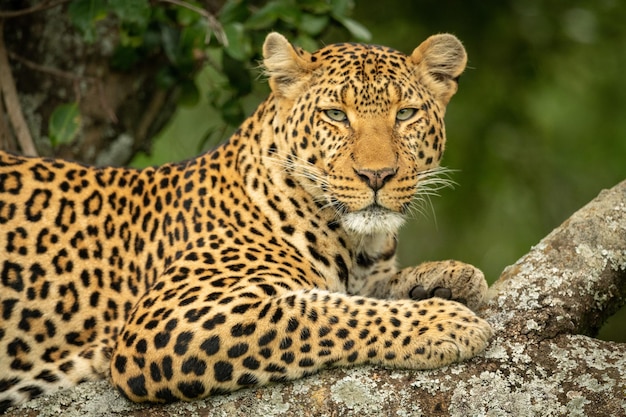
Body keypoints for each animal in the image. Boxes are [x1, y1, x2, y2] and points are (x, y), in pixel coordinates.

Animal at [0, 31, 492, 410]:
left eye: (405, 114)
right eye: (336, 114)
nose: (377, 175)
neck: (355, 244)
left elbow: (366, 293)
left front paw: (449, 277)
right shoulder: (170, 320)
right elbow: (321, 311)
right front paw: (442, 323)